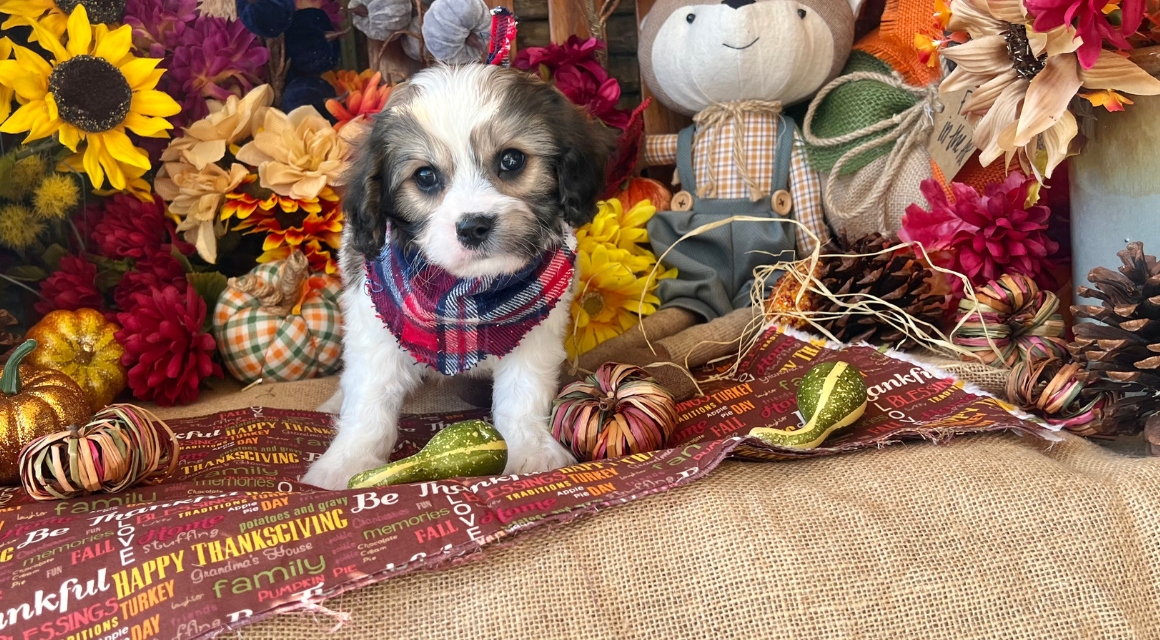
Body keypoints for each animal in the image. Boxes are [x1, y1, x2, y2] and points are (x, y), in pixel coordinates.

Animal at [303, 63, 621, 489]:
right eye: (425, 176)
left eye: (511, 160)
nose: (474, 226)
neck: (468, 295)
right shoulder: (375, 325)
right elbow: (369, 400)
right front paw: (346, 464)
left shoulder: (537, 333)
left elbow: (522, 394)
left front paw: (531, 451)